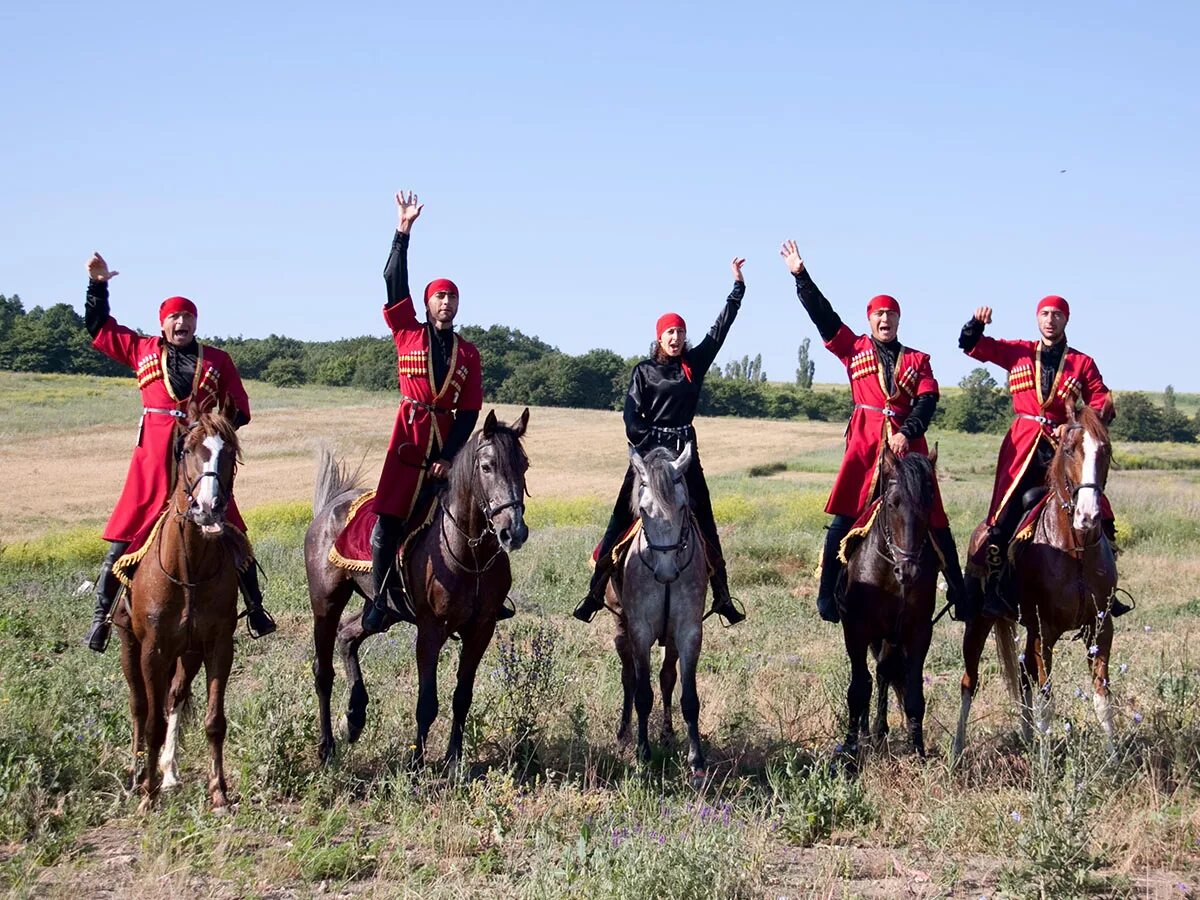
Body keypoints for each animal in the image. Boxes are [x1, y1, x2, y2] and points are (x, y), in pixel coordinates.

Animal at [114, 398, 243, 816]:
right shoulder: (152, 649)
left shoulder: (218, 645)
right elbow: (152, 721)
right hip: (129, 644)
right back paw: (137, 773)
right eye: (187, 450)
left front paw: (219, 793)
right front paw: (147, 795)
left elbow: (214, 720)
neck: (189, 569)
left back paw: (168, 772)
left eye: (229, 453)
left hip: (187, 653)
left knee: (174, 696)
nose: (208, 508)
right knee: (140, 705)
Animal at [309, 408, 530, 768]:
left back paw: (355, 716)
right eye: (487, 466)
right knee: (323, 671)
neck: (469, 553)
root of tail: (330, 507)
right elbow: (427, 701)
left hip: (382, 611)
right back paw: (327, 747)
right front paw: (416, 764)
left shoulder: (480, 629)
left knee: (348, 636)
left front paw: (454, 760)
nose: (514, 532)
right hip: (326, 604)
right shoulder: (430, 630)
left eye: (523, 464)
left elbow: (462, 696)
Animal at [604, 441, 705, 777]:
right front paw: (643, 754)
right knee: (628, 678)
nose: (666, 572)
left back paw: (668, 734)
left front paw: (696, 760)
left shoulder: (688, 632)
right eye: (644, 511)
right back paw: (624, 735)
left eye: (683, 507)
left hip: (670, 638)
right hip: (622, 631)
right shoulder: (639, 631)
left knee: (666, 677)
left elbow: (688, 697)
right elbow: (642, 694)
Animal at [840, 448, 940, 763]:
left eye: (929, 503)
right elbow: (858, 690)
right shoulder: (856, 631)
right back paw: (866, 733)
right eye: (894, 503)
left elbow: (913, 694)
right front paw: (849, 752)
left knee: (884, 672)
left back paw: (880, 730)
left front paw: (918, 751)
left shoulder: (918, 633)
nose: (908, 571)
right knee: (872, 678)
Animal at [950, 400, 1118, 753]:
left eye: (1106, 450)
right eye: (1069, 449)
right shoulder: (1045, 630)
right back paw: (957, 747)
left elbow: (1102, 696)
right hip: (980, 621)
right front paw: (1045, 760)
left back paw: (1027, 738)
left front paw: (1114, 756)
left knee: (1024, 674)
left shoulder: (1101, 628)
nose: (1088, 515)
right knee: (970, 680)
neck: (1074, 549)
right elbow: (1047, 698)